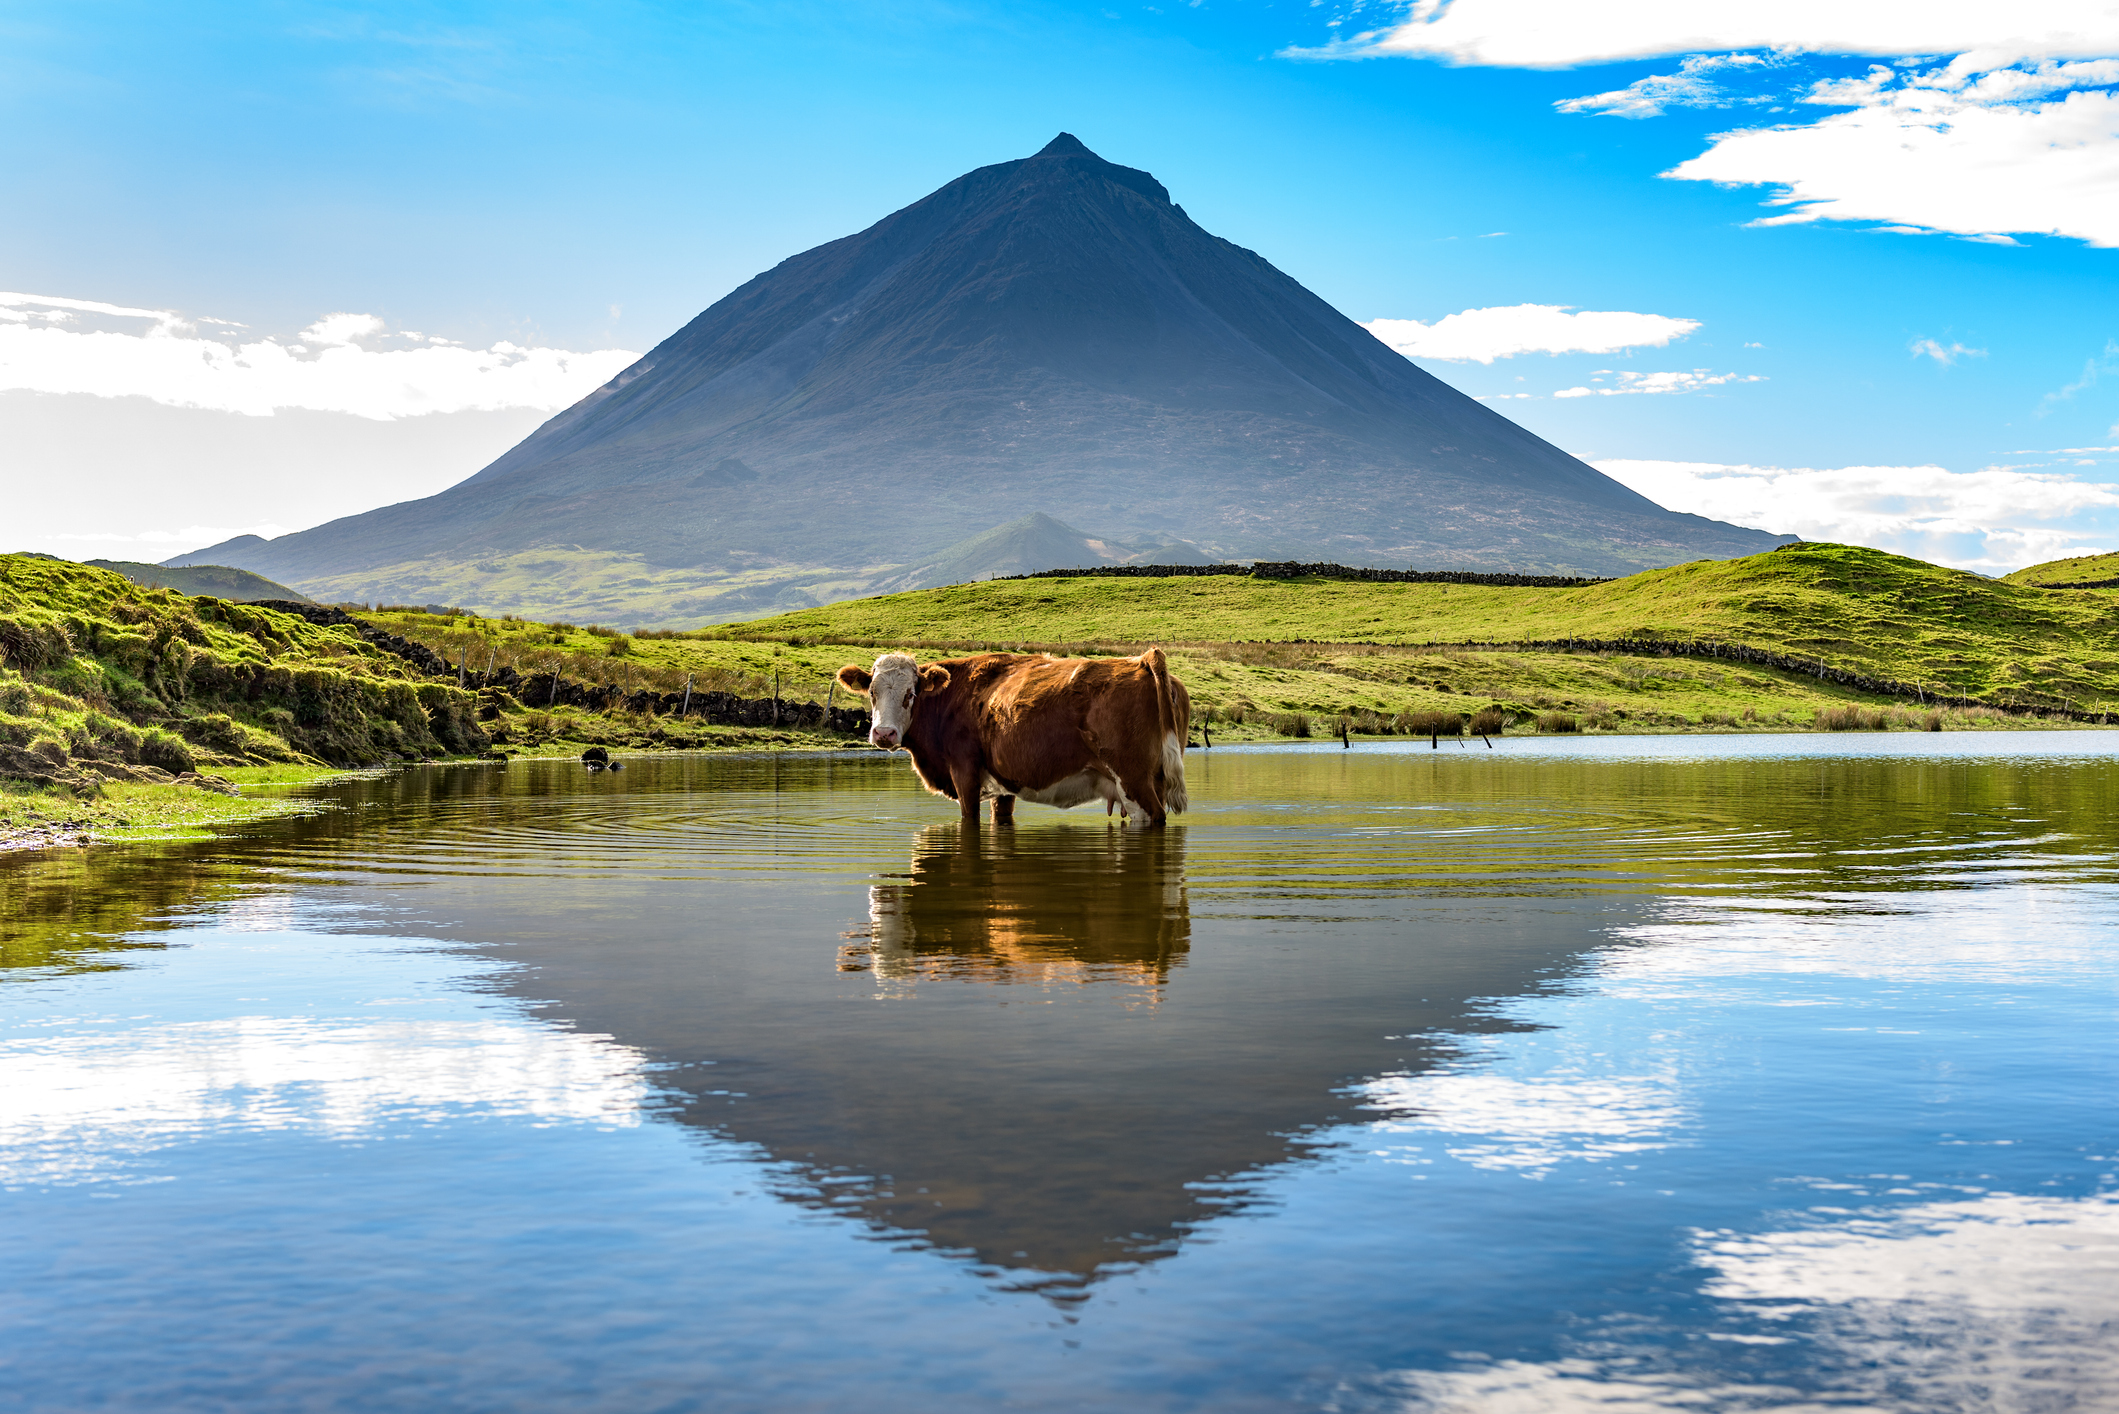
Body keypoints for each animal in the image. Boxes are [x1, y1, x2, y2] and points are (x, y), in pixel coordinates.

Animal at [830, 648, 1195, 822]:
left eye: (911, 694)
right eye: (872, 693)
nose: (884, 733)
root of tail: (1143, 660)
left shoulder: (964, 772)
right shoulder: (1002, 786)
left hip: (1133, 781)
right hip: (1151, 779)